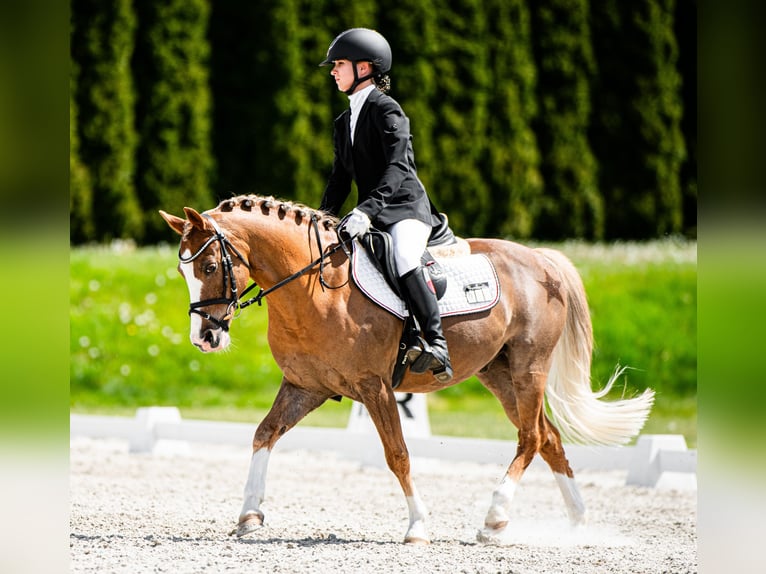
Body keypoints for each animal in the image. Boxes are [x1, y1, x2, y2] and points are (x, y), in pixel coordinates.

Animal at [159, 194, 654, 545]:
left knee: (530, 437)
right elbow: (264, 433)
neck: (313, 289)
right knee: (548, 438)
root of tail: (540, 259)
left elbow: (397, 454)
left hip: (529, 366)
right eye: (184, 274)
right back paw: (577, 523)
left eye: (209, 265)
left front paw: (417, 527)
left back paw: (494, 519)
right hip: (498, 372)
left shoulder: (374, 387)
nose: (205, 338)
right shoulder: (305, 386)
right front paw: (249, 514)